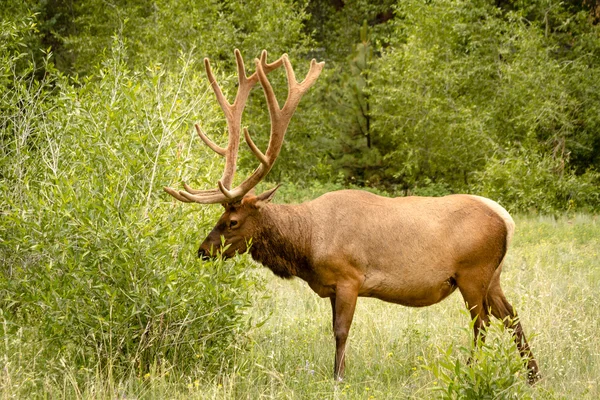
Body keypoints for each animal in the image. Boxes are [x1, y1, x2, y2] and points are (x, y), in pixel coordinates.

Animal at [163, 50, 540, 384]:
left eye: (232, 222)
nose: (203, 250)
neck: (307, 245)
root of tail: (506, 219)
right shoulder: (332, 287)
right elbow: (335, 330)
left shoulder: (349, 277)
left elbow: (341, 332)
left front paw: (339, 377)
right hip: (493, 275)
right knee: (512, 316)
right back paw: (532, 375)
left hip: (473, 272)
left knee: (483, 323)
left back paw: (472, 370)